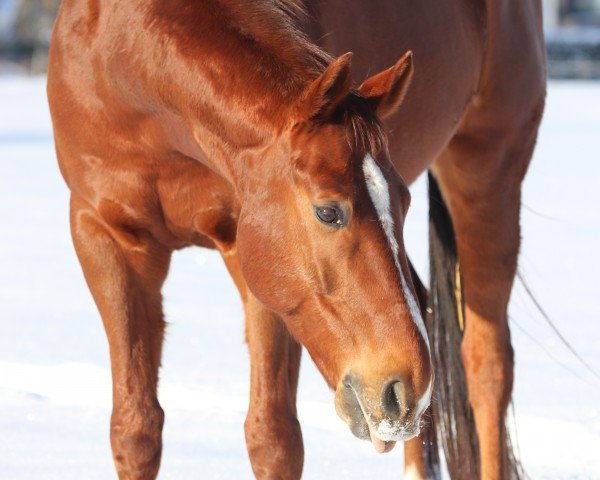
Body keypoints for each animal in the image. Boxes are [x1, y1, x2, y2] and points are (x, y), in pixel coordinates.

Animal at [45, 0, 544, 480]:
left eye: (403, 200)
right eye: (327, 211)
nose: (406, 387)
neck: (127, 57)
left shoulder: (257, 269)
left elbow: (273, 438)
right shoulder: (105, 239)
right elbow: (136, 431)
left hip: (488, 176)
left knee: (487, 367)